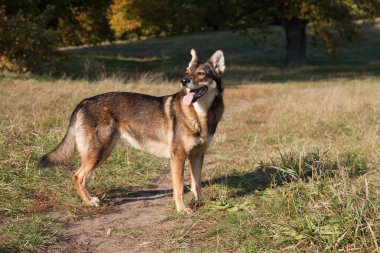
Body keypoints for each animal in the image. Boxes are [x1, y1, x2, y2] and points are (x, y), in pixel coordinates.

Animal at [37, 49, 224, 213]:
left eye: (200, 73)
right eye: (187, 71)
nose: (183, 80)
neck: (199, 114)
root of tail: (84, 101)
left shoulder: (197, 155)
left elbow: (196, 184)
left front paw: (201, 203)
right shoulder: (178, 156)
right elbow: (178, 188)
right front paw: (182, 210)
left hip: (102, 153)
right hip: (97, 154)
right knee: (77, 176)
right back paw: (89, 202)